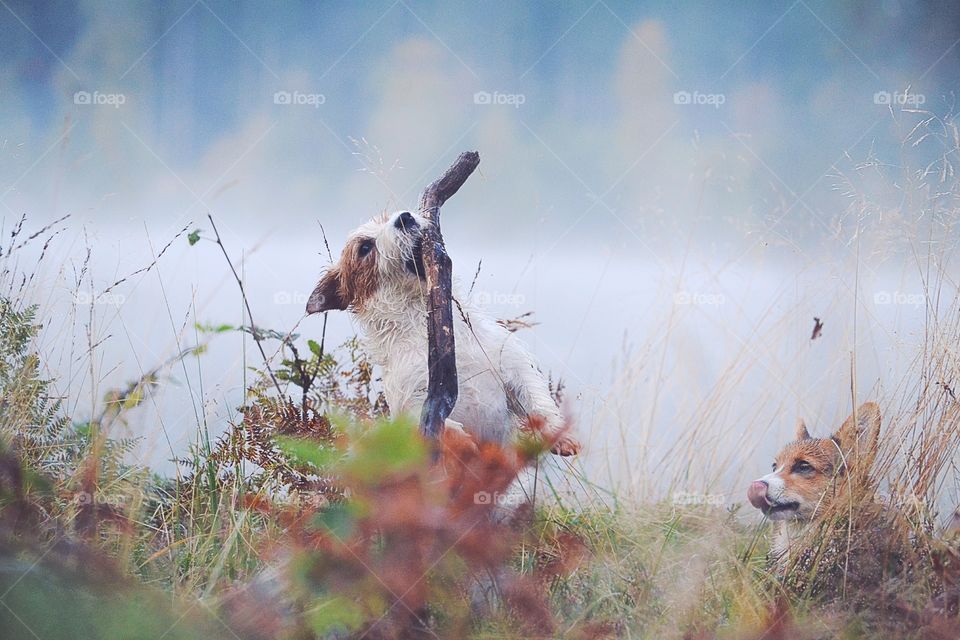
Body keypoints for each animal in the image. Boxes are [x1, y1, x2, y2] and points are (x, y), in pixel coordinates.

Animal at [304, 210, 580, 456]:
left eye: (387, 216)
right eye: (364, 248)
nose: (405, 217)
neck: (424, 323)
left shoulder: (514, 366)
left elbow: (538, 400)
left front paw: (559, 434)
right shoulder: (411, 401)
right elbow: (438, 424)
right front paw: (463, 441)